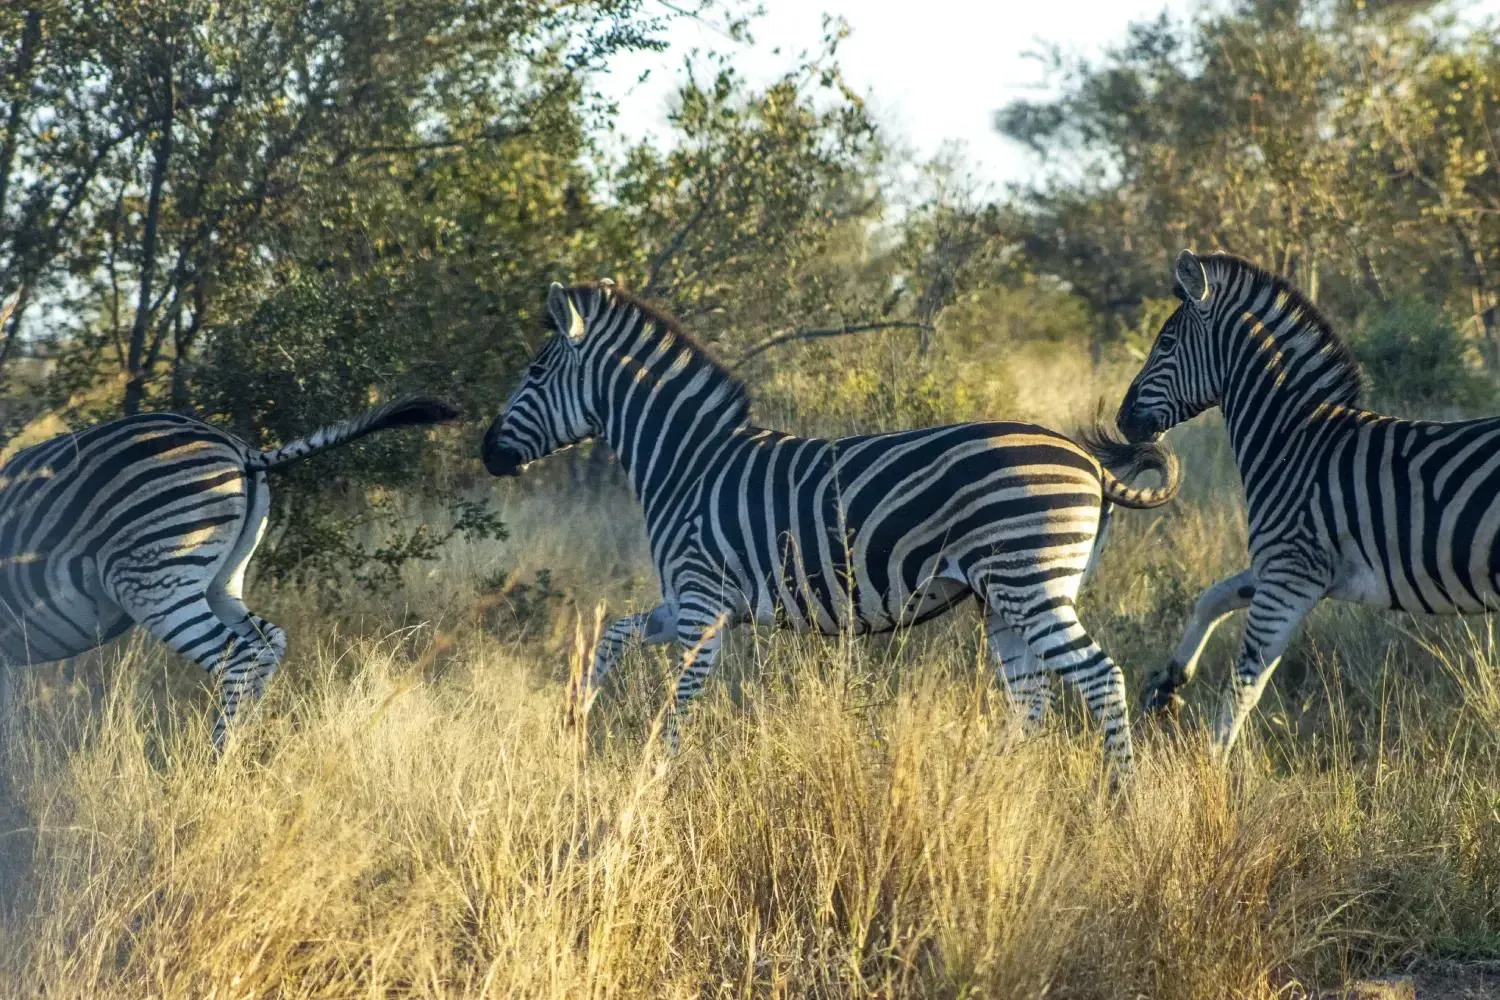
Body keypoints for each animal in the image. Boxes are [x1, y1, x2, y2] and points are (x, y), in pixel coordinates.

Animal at [0, 396, 458, 746]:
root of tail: (241, 448)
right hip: (220, 580)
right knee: (266, 643)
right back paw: (246, 752)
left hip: (157, 582)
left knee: (238, 655)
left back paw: (217, 762)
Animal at [482, 281, 1181, 771]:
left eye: (535, 373)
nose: (487, 453)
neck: (688, 461)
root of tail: (1090, 461)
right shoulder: (690, 599)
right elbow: (612, 635)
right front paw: (575, 723)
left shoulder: (701, 603)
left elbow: (676, 707)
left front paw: (654, 783)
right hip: (1009, 599)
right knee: (1031, 701)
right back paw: (994, 789)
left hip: (1030, 585)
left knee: (1100, 679)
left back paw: (1119, 803)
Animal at [1117, 248, 1500, 754]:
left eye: (1164, 344)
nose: (1121, 420)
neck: (1294, 442)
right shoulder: (1284, 567)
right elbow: (1210, 597)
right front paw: (1169, 683)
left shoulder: (1289, 574)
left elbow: (1244, 684)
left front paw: (1210, 764)